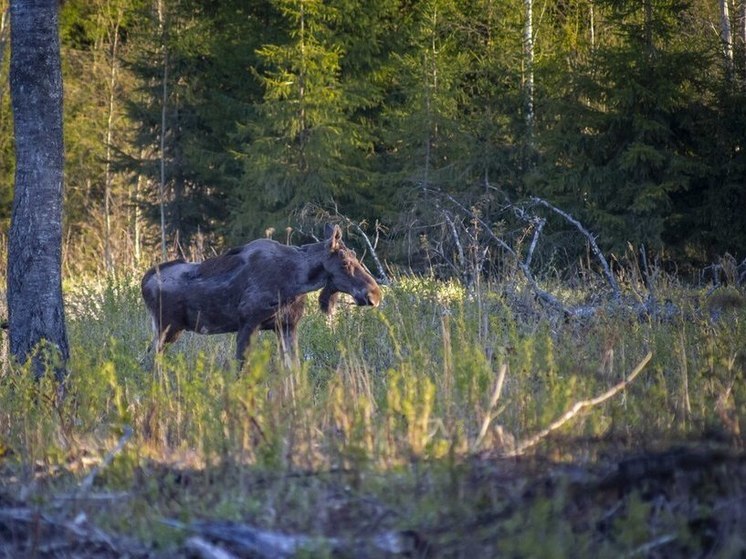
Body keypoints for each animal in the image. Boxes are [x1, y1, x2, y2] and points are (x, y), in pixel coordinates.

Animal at [140, 225, 380, 366]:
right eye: (345, 262)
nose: (375, 294)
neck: (296, 281)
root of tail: (144, 281)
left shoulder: (286, 326)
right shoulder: (249, 323)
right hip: (167, 327)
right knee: (148, 361)